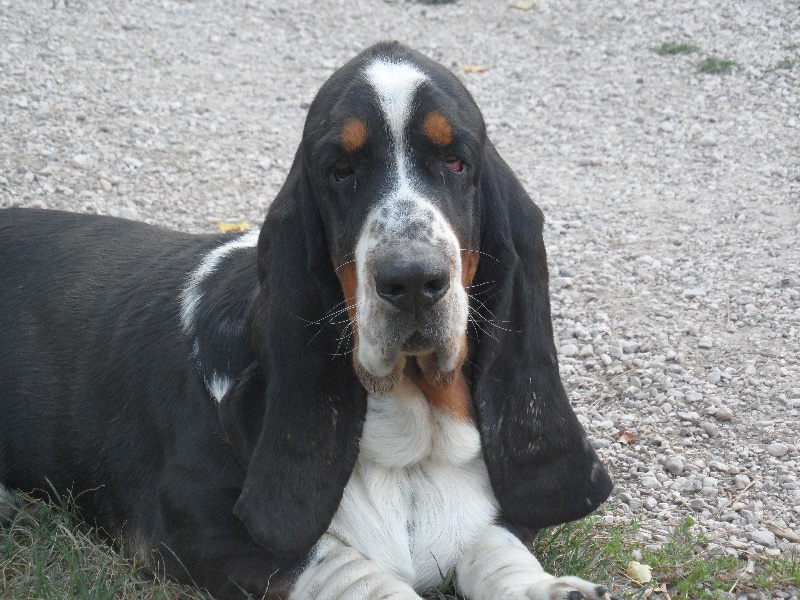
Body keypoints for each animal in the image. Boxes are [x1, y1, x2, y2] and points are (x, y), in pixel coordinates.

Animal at [0, 43, 612, 600]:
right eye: (339, 170)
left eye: (457, 161)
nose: (413, 280)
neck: (411, 452)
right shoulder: (199, 529)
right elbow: (345, 568)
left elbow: (494, 544)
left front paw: (550, 588)